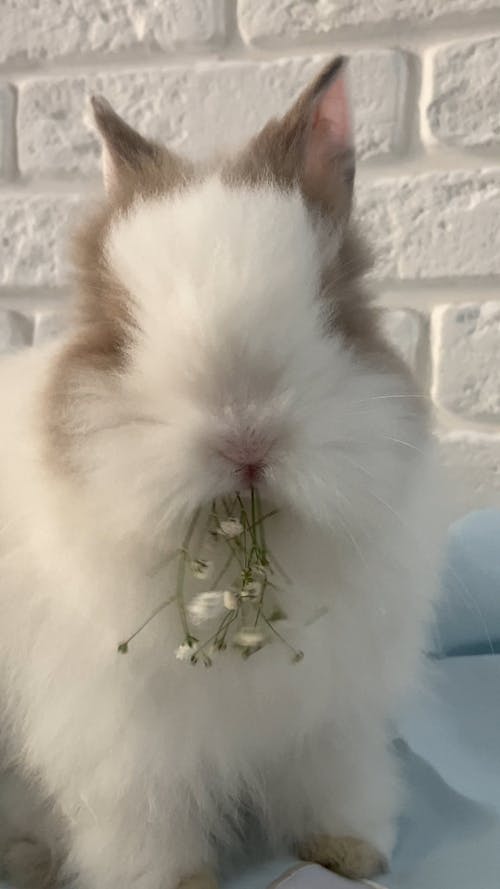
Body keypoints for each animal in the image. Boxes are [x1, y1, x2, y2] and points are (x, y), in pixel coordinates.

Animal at [0, 57, 444, 888]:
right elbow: (146, 819)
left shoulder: (333, 716)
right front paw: (174, 882)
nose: (245, 441)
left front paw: (353, 850)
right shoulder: (125, 747)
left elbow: (334, 780)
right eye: (119, 330)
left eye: (334, 306)